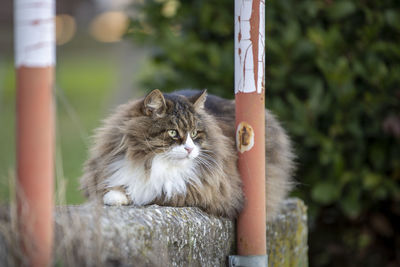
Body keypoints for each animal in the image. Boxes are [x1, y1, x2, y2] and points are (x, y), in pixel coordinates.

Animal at [80, 89, 294, 220]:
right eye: (173, 133)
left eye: (194, 133)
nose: (190, 149)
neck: (153, 163)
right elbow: (113, 187)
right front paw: (115, 196)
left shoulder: (206, 191)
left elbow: (158, 193)